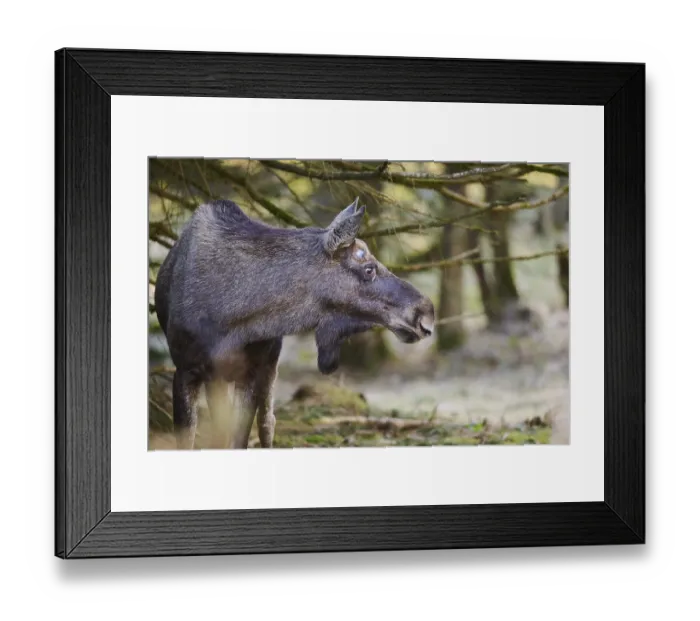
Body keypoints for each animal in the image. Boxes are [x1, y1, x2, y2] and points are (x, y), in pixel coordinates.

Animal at [154, 197, 435, 449]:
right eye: (368, 269)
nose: (427, 313)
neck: (234, 322)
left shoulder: (249, 373)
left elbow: (237, 439)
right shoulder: (187, 370)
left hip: (269, 364)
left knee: (268, 422)